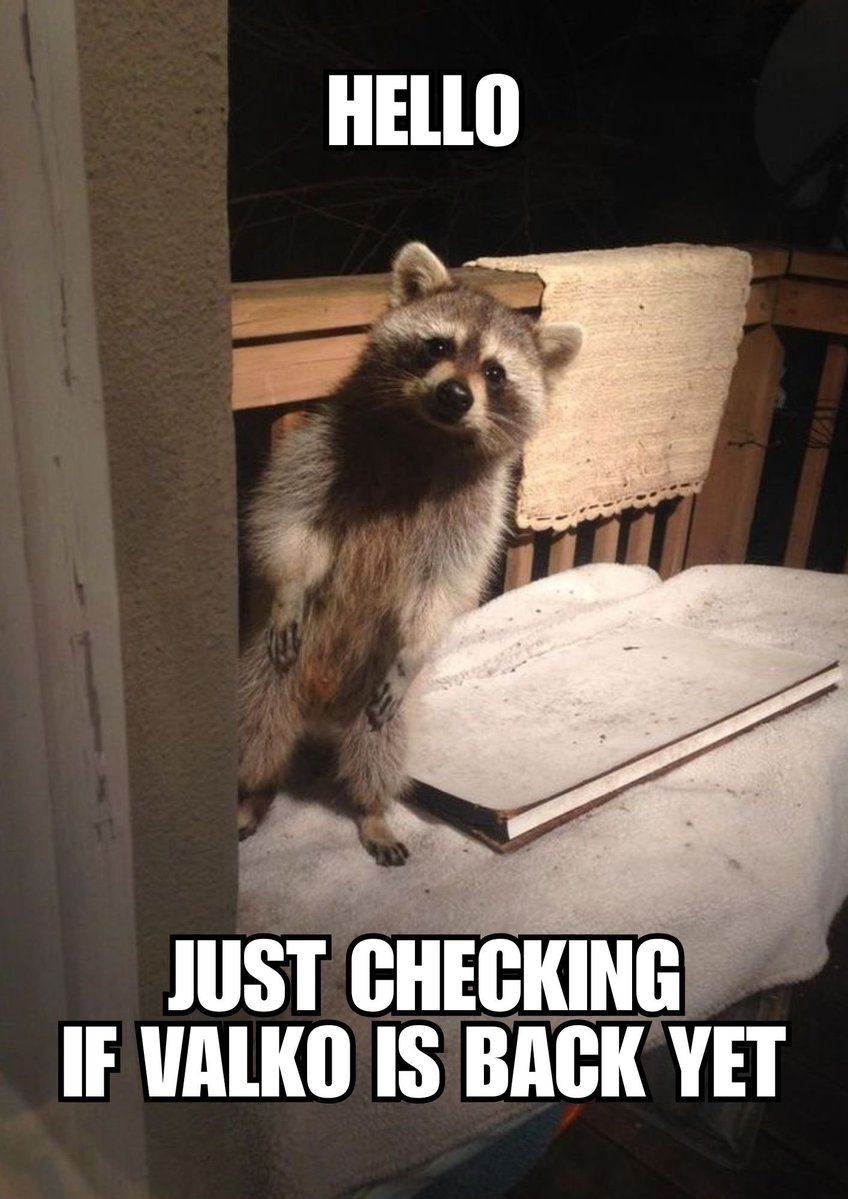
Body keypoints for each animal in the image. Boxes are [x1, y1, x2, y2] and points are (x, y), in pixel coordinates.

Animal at [237, 242, 582, 864]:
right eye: (437, 347)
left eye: (495, 372)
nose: (454, 394)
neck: (428, 436)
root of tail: (321, 713)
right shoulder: (322, 445)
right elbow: (289, 522)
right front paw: (289, 588)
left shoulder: (479, 508)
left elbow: (443, 586)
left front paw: (417, 644)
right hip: (268, 668)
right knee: (257, 724)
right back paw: (255, 791)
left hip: (379, 703)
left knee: (379, 750)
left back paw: (372, 809)